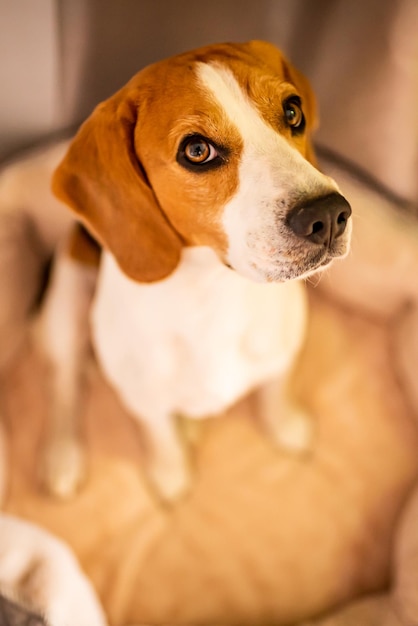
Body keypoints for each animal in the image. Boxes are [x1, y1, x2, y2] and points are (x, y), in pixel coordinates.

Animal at [4, 40, 352, 498]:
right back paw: (63, 455)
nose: (329, 215)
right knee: (63, 387)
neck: (213, 292)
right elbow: (159, 435)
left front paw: (286, 426)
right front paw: (170, 475)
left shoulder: (280, 355)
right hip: (66, 307)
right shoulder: (144, 399)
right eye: (197, 151)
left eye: (293, 111)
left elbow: (275, 392)